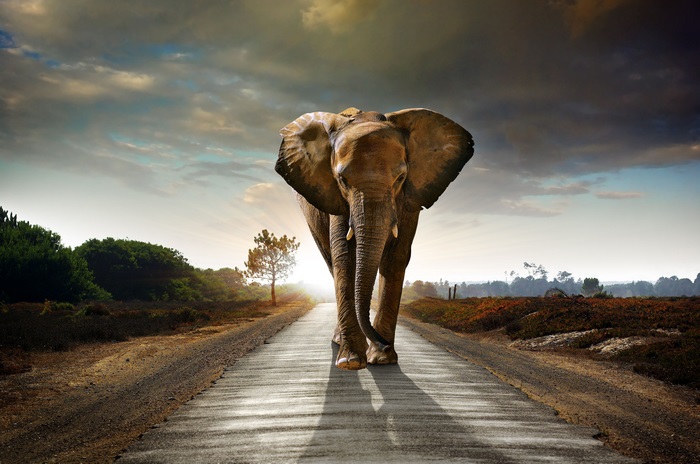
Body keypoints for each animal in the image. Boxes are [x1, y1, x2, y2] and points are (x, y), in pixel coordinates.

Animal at [276, 107, 474, 370]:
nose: (383, 342)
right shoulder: (336, 199)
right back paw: (340, 343)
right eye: (342, 180)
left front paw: (382, 359)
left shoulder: (409, 199)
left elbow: (395, 258)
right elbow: (345, 257)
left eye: (401, 178)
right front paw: (351, 361)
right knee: (331, 262)